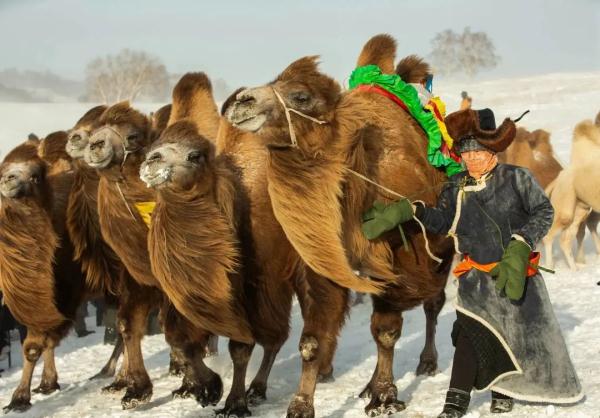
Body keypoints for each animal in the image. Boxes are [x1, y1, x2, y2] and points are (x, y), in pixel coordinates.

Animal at [0, 140, 85, 412]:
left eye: (35, 176)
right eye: (2, 169)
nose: (9, 180)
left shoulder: (58, 294)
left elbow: (35, 345)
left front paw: (19, 398)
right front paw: (44, 384)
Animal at [225, 34, 454, 416]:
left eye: (301, 96)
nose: (240, 100)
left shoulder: (403, 256)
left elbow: (387, 330)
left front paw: (385, 397)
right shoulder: (326, 261)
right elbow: (312, 341)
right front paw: (301, 405)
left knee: (432, 305)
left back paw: (426, 362)